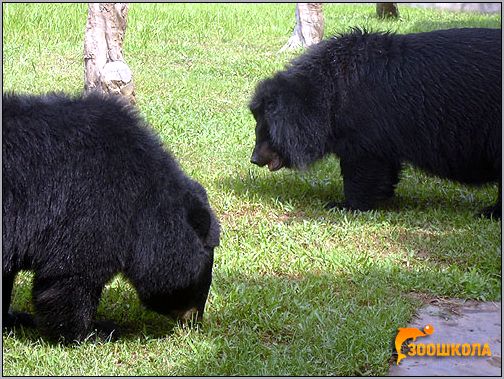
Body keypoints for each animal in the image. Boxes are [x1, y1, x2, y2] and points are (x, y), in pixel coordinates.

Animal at [250, 28, 502, 218]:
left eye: (268, 130)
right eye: (259, 128)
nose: (254, 159)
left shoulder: (365, 129)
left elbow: (363, 169)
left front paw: (345, 205)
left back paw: (491, 212)